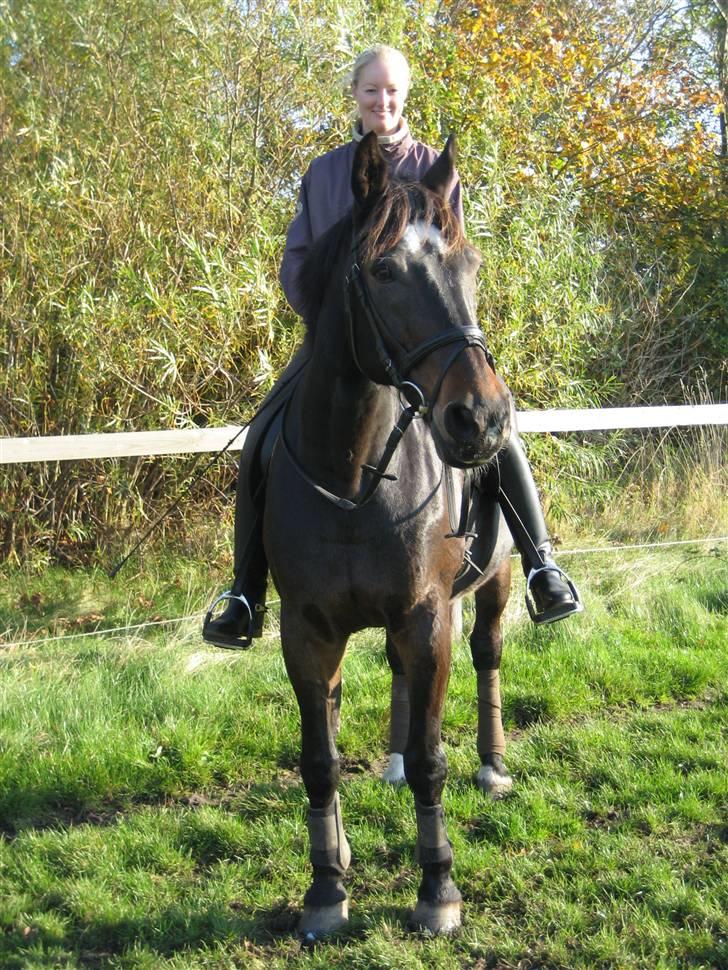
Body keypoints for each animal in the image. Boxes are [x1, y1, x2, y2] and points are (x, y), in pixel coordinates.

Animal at [266, 132, 512, 932]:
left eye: (470, 267)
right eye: (382, 271)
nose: (481, 419)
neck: (353, 477)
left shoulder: (427, 616)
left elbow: (436, 756)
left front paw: (438, 889)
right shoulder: (305, 630)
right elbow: (319, 759)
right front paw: (325, 888)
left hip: (494, 585)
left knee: (488, 653)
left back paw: (494, 766)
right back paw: (392, 771)